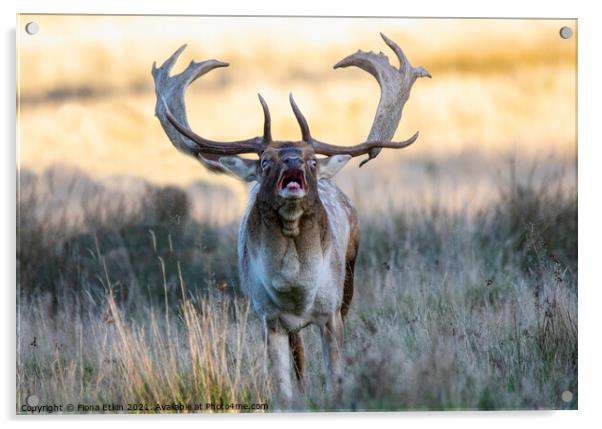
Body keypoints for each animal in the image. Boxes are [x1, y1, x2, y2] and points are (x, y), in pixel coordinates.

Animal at [152, 32, 428, 402]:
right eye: (265, 160)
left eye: (311, 160)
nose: (293, 159)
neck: (295, 290)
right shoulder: (268, 318)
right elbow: (282, 389)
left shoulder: (331, 312)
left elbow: (337, 377)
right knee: (299, 359)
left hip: (350, 275)